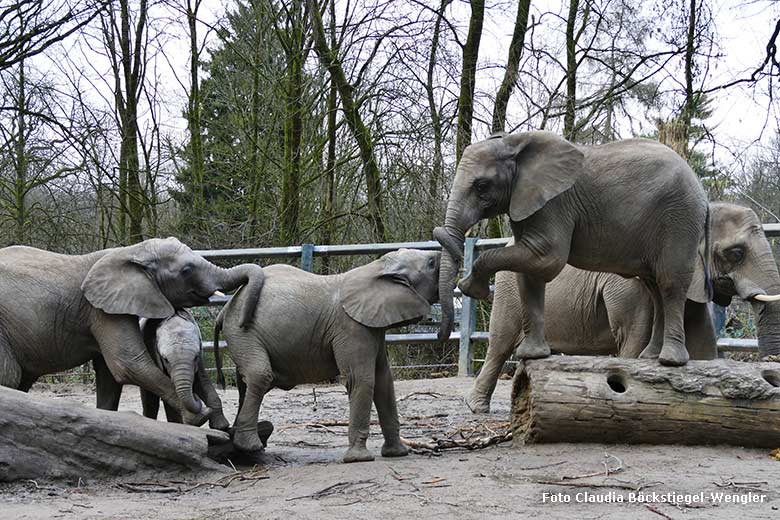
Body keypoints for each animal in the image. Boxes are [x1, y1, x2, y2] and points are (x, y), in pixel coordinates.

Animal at [0, 238, 264, 424]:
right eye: (187, 270)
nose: (244, 322)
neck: (131, 252)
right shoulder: (102, 310)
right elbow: (128, 364)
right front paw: (196, 417)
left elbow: (109, 375)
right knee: (10, 375)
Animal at [213, 249, 442, 464]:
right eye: (431, 264)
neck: (375, 268)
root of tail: (225, 309)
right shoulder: (351, 327)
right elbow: (362, 379)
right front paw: (359, 459)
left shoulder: (373, 327)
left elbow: (384, 381)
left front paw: (397, 454)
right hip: (243, 333)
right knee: (260, 376)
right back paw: (251, 446)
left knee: (246, 382)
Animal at [436, 131, 708, 366]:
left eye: (481, 186)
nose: (441, 335)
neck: (515, 142)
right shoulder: (527, 202)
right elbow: (530, 273)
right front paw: (532, 356)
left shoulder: (555, 203)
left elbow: (547, 259)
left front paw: (471, 287)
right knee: (655, 286)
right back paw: (650, 357)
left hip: (680, 218)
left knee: (670, 282)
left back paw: (670, 361)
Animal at [466, 201, 780, 412]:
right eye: (735, 253)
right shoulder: (629, 286)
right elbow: (633, 337)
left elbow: (703, 346)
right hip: (507, 289)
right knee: (500, 343)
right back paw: (477, 408)